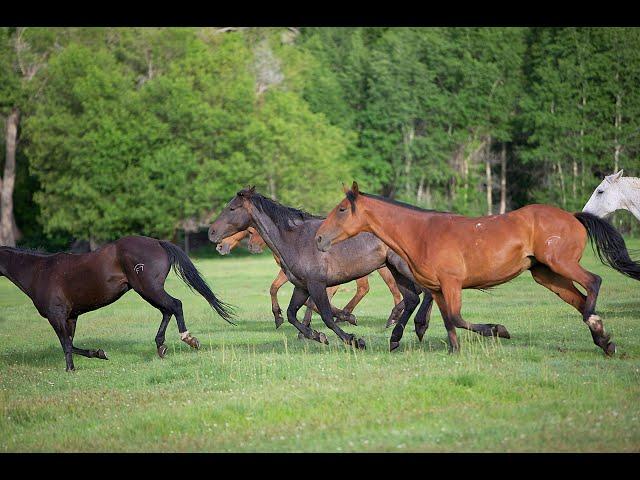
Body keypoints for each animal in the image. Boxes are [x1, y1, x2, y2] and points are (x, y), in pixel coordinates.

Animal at [0, 236, 235, 372]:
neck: (39, 272)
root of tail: (157, 242)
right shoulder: (71, 317)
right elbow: (71, 344)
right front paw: (98, 353)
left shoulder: (56, 316)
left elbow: (66, 345)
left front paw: (71, 370)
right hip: (148, 291)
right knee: (167, 310)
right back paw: (160, 346)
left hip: (148, 288)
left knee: (175, 305)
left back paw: (188, 339)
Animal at [314, 182, 640, 354]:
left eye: (341, 210)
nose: (318, 238)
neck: (422, 232)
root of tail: (573, 216)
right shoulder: (438, 289)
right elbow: (448, 321)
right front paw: (454, 351)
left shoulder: (452, 284)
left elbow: (458, 318)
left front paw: (499, 330)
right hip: (546, 275)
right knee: (581, 298)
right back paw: (603, 340)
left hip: (561, 263)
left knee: (594, 282)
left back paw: (596, 324)